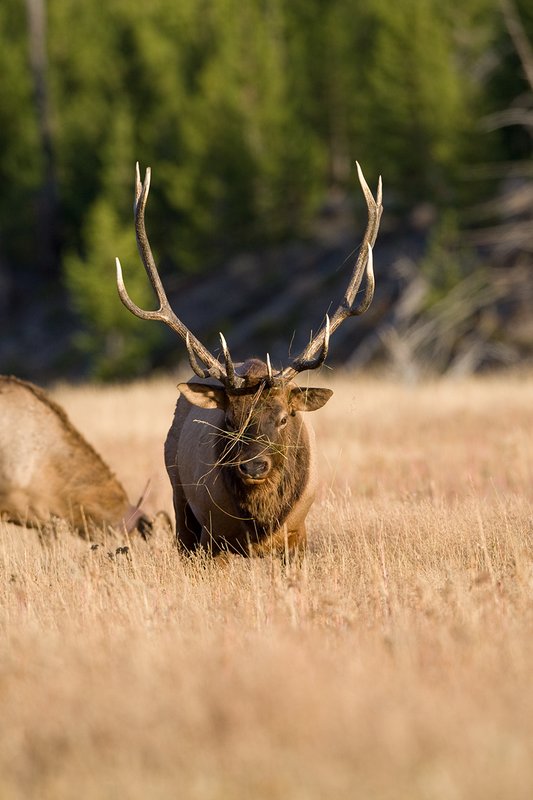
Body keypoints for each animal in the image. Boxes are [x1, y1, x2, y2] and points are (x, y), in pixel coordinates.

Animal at [115, 162, 382, 556]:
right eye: (230, 420)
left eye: (285, 418)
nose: (254, 467)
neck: (261, 522)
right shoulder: (214, 536)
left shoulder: (297, 534)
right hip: (180, 500)